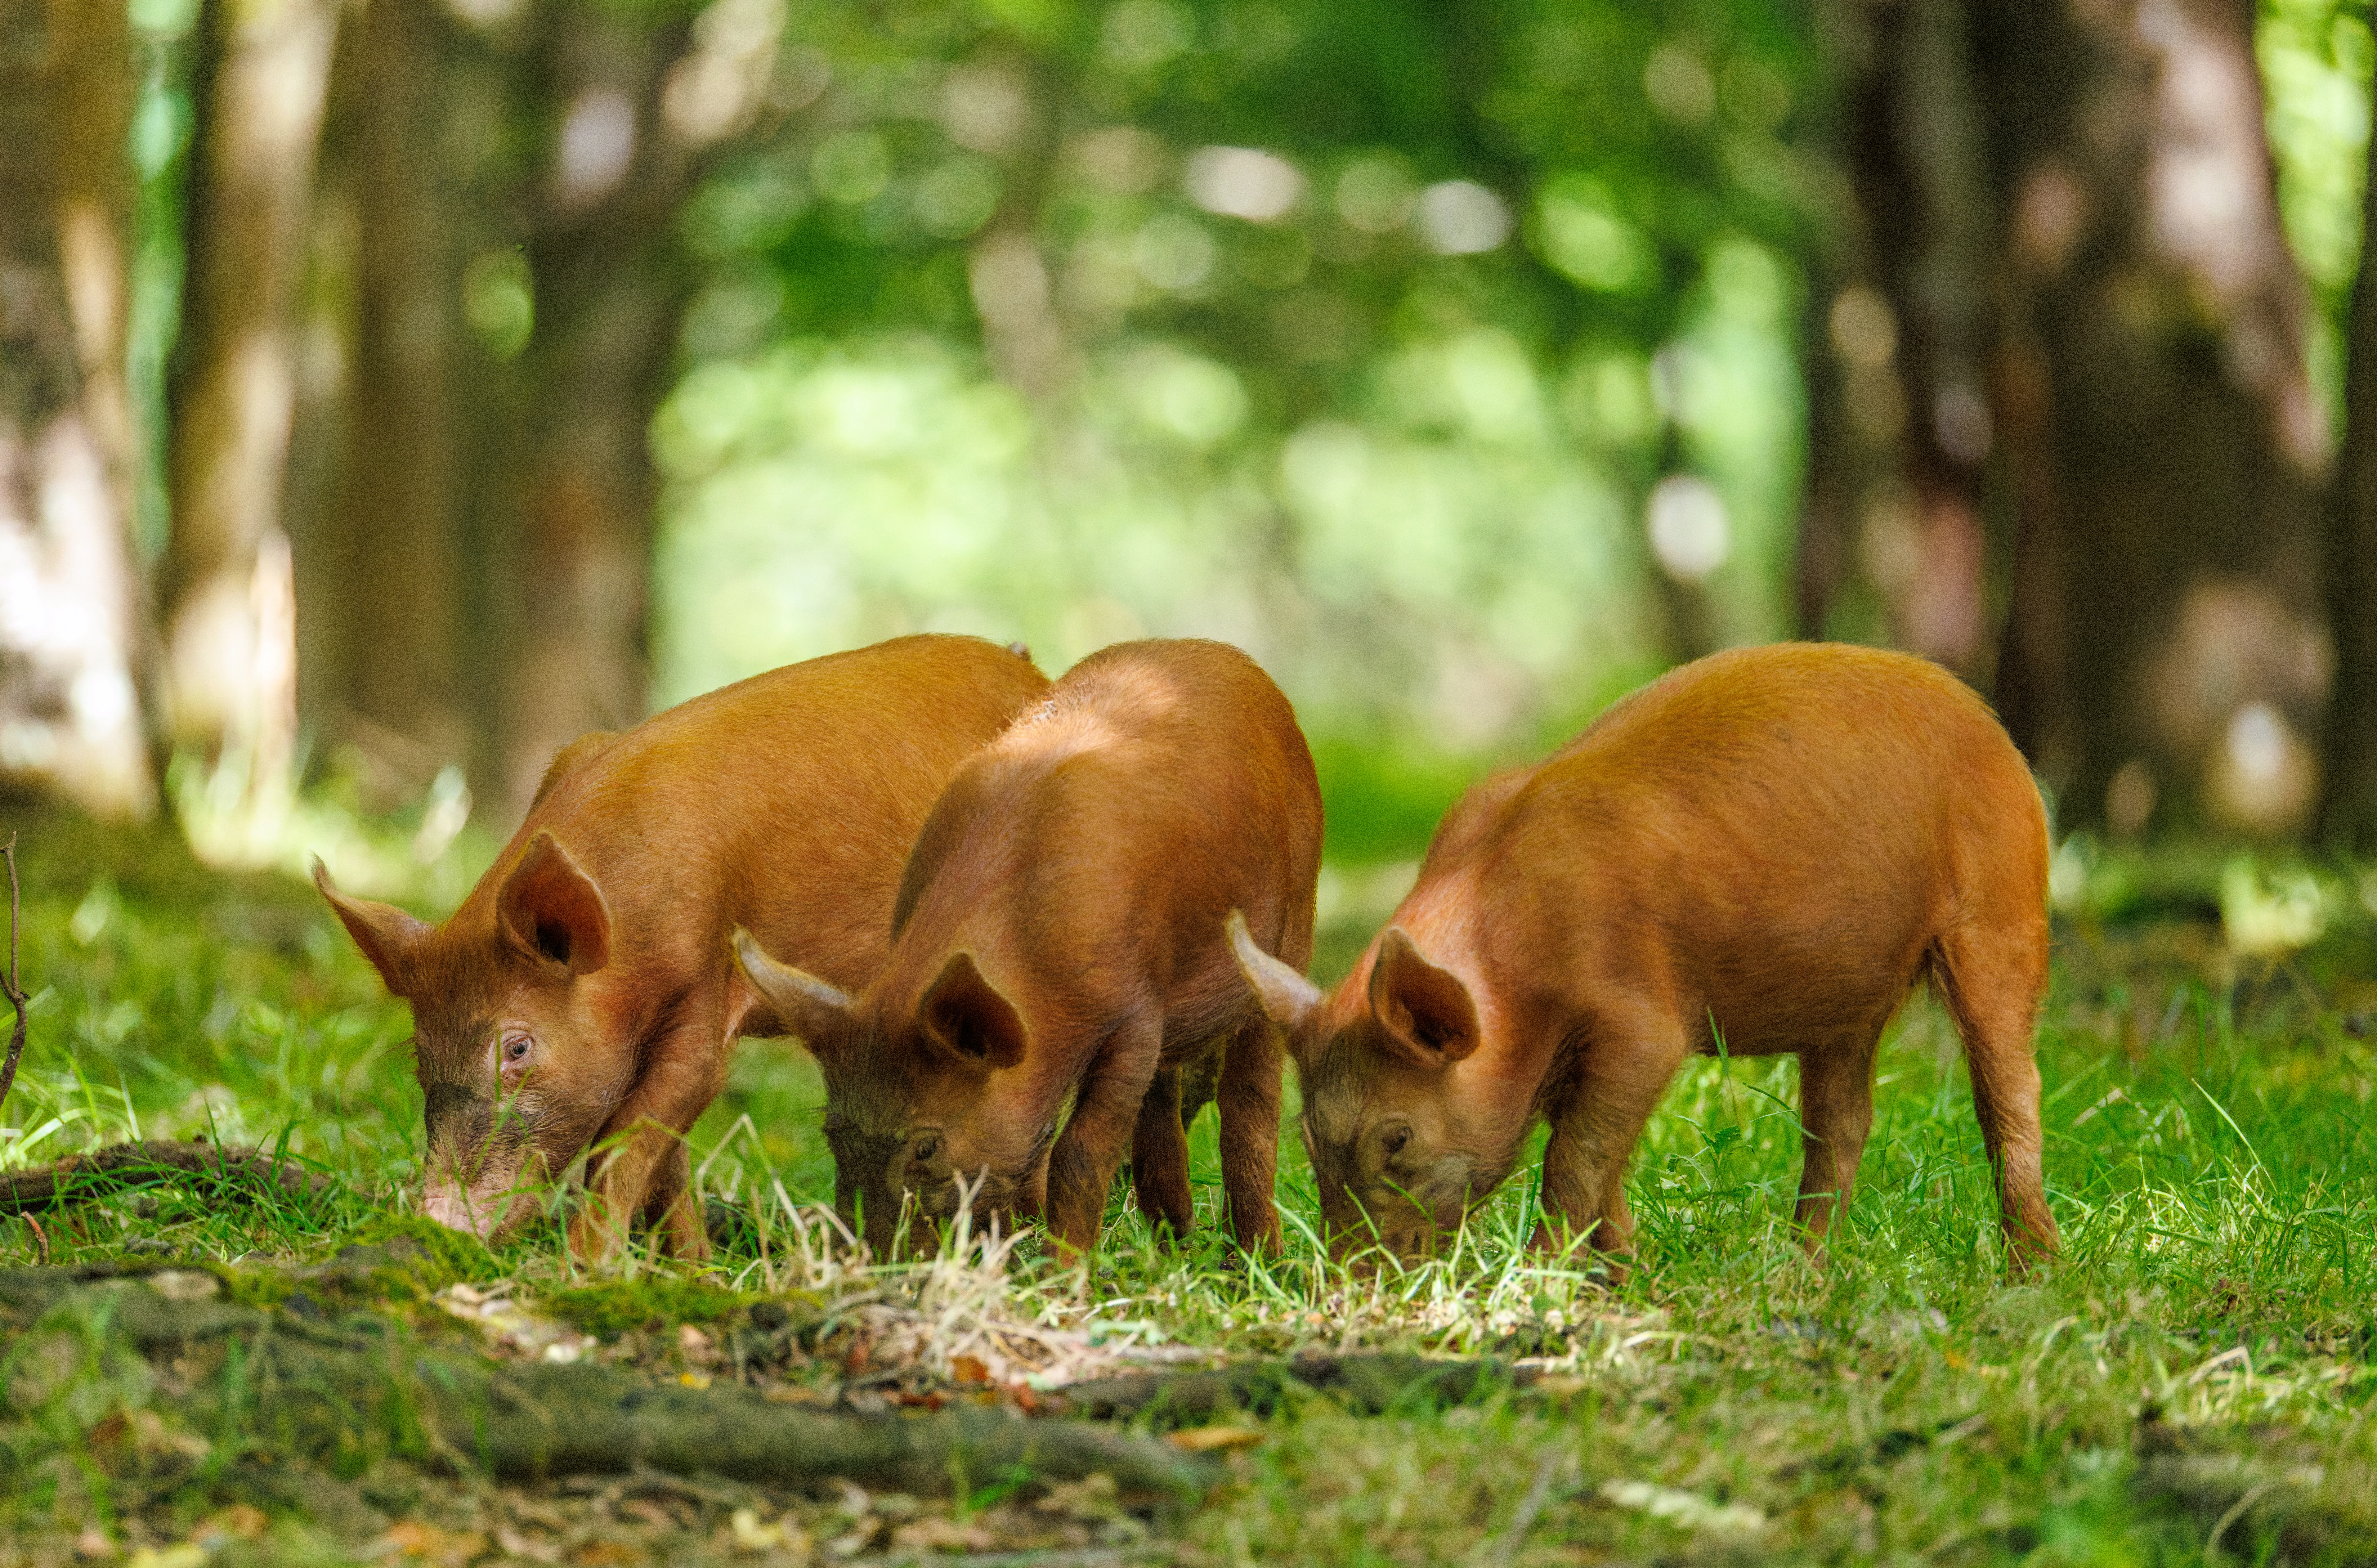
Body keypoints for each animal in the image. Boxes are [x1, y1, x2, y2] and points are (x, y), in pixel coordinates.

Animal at [314, 635, 1050, 1262]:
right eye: (419, 1054)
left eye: (517, 1048)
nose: (436, 1222)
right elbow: (668, 1156)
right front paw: (692, 1269)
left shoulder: (707, 978)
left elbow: (639, 1125)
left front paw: (585, 1269)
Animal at [732, 638, 1322, 1260]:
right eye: (833, 1133)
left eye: (927, 1146)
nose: (866, 1259)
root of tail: (1226, 655)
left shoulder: (1134, 1016)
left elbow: (1078, 1152)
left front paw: (1062, 1269)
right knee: (1165, 1098)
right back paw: (1172, 1238)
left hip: (1294, 917)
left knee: (1251, 1096)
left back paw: (1259, 1256)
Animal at [1228, 642, 2060, 1275]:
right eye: (1310, 1141)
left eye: (1396, 1139)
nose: (1350, 1280)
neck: (1509, 977)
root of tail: (1982, 715)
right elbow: (1605, 1168)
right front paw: (1620, 1281)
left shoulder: (1642, 1023)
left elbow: (1574, 1159)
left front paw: (1543, 1278)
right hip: (1845, 1005)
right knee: (1841, 1124)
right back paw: (1801, 1274)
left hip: (2004, 907)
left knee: (2009, 1090)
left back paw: (2032, 1273)